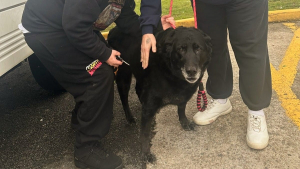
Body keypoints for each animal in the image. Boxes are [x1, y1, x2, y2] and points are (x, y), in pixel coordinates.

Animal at [107, 25, 211, 165]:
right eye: (180, 49)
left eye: (198, 48)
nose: (191, 71)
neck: (171, 72)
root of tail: (113, 29)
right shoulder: (149, 108)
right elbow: (145, 133)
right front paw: (145, 153)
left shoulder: (181, 95)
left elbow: (181, 107)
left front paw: (184, 122)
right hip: (123, 76)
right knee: (124, 97)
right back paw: (129, 117)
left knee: (138, 89)